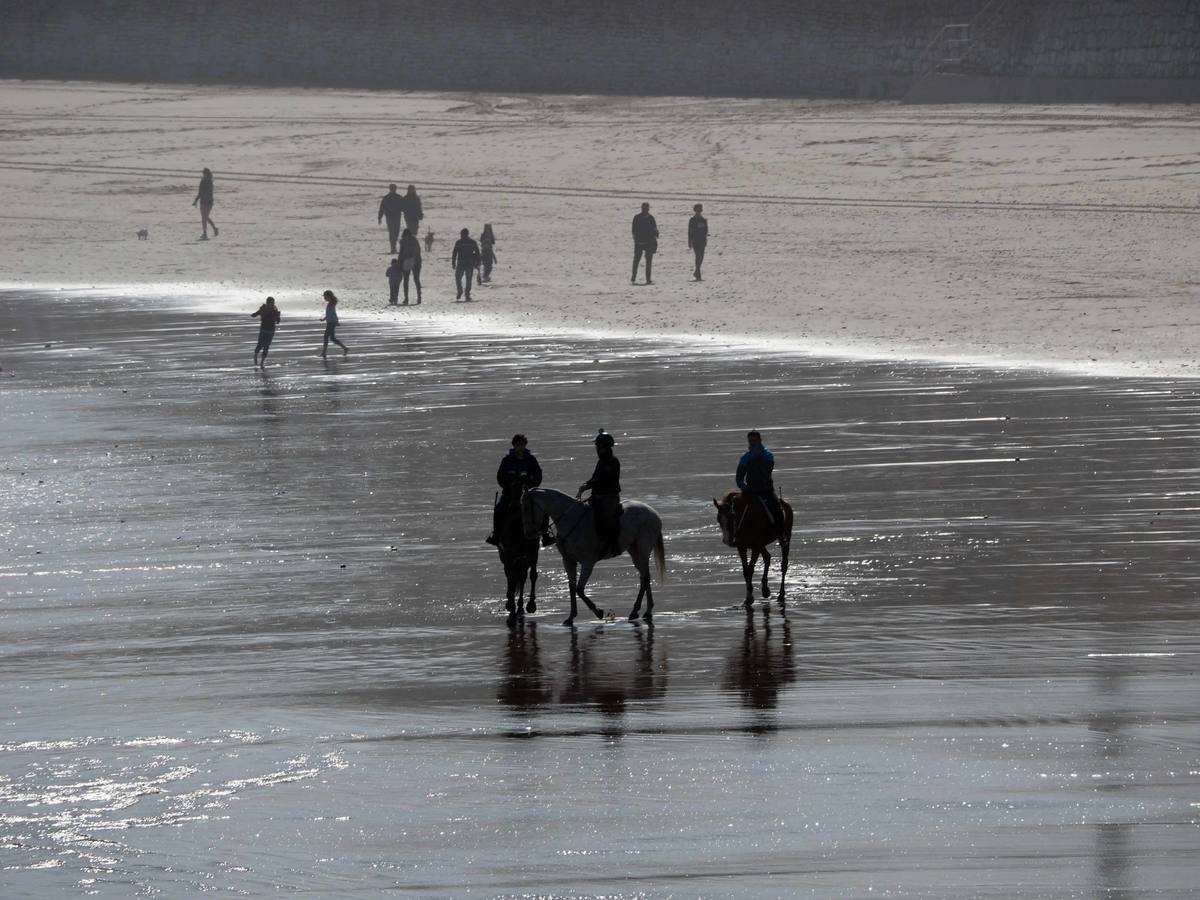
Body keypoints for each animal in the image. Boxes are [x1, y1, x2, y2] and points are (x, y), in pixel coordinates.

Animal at [520, 487, 667, 628]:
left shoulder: (587, 563)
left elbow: (579, 589)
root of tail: (653, 513)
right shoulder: (568, 561)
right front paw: (571, 617)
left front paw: (598, 612)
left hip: (643, 549)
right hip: (635, 551)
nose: (528, 534)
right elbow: (572, 588)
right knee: (644, 577)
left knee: (645, 577)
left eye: (526, 508)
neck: (570, 520)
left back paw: (640, 611)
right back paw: (642, 611)